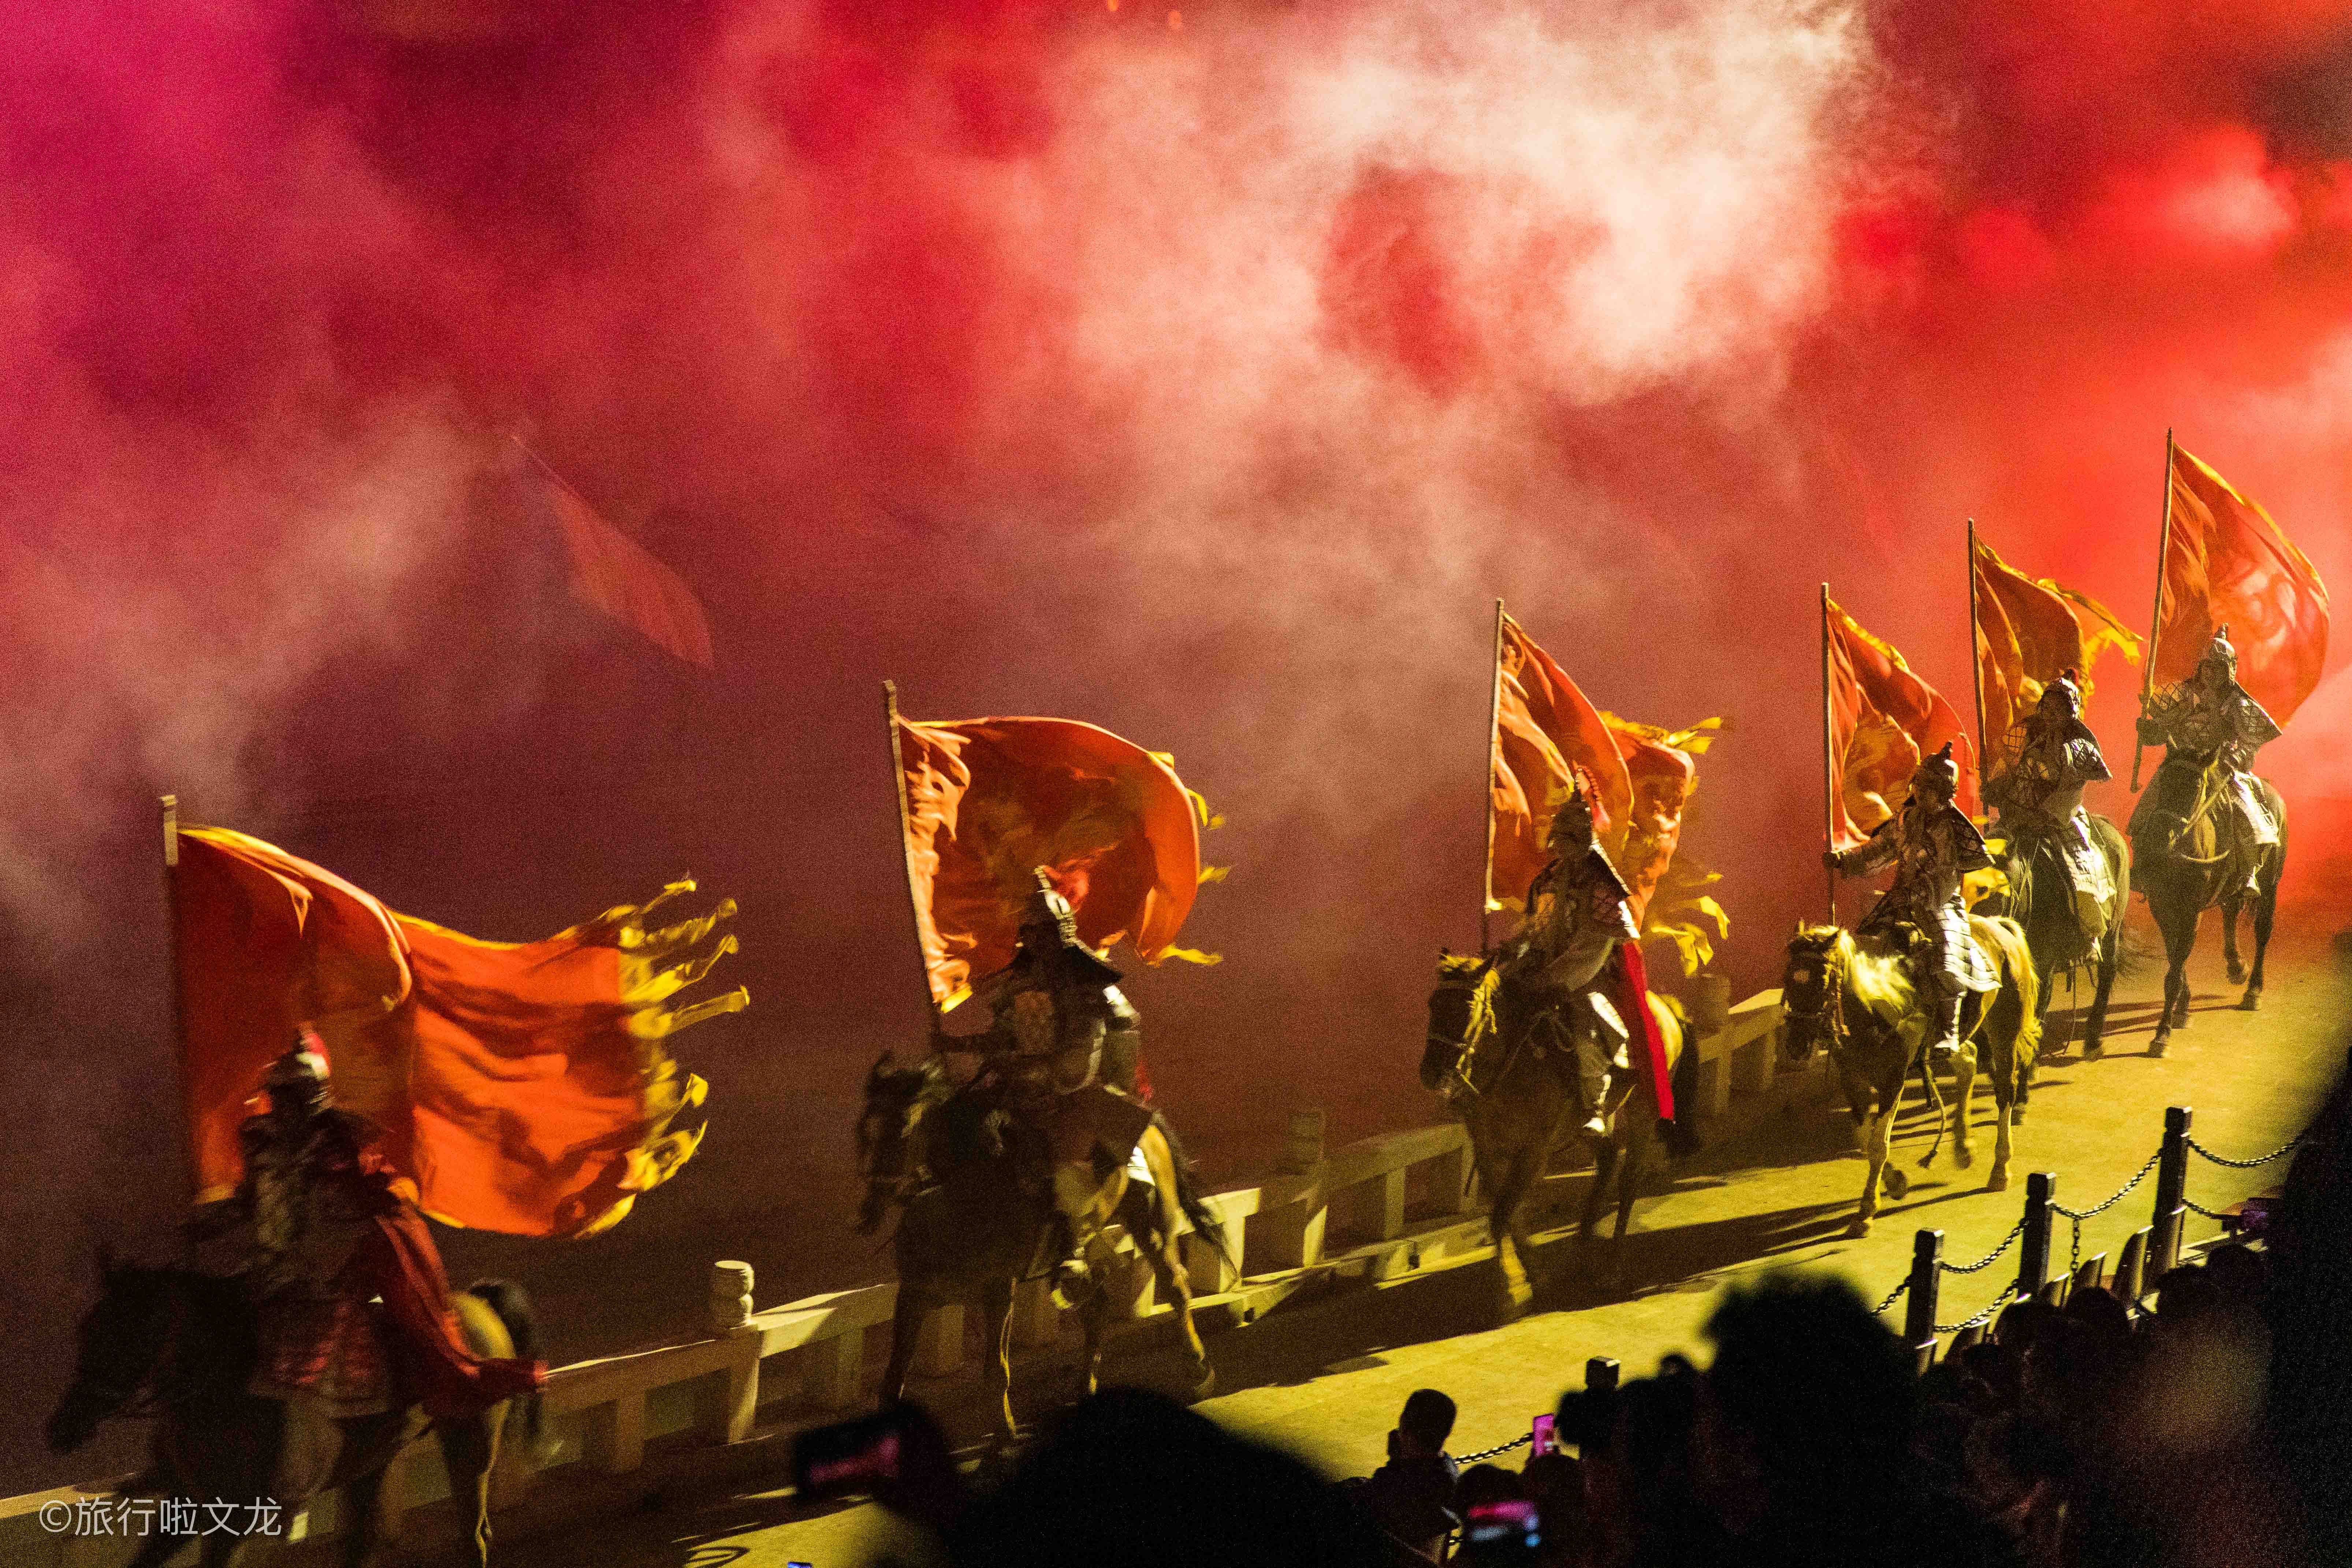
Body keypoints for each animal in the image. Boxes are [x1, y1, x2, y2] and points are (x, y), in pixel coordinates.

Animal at [44, 1249, 541, 1568]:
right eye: (88, 1329)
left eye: (128, 1335)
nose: (62, 1427)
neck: (223, 1386)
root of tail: (478, 1301)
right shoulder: (188, 1504)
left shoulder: (235, 1518)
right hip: (373, 1458)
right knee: (364, 1543)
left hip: (470, 1441)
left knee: (473, 1533)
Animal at [857, 1053, 1227, 1445]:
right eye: (864, 1131)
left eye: (902, 1125)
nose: (871, 1205)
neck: (960, 1203)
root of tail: (1148, 1120)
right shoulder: (913, 1293)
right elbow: (893, 1379)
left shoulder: (999, 1290)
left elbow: (996, 1370)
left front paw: (1007, 1433)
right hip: (1090, 1235)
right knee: (1097, 1307)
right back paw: (1086, 1390)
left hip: (1150, 1220)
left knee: (1175, 1287)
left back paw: (1201, 1372)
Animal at [1420, 953, 1691, 1318]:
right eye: (1433, 1003)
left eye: (1468, 1005)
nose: (1431, 1073)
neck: (1512, 1066)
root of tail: (1665, 1007)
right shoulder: (1488, 1147)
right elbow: (1507, 1213)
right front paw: (1533, 1275)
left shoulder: (1534, 1150)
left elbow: (1502, 1214)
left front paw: (1511, 1292)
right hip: (1590, 1118)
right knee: (1608, 1159)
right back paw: (1582, 1247)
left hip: (1643, 1109)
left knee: (1629, 1181)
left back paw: (1611, 1267)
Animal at [1779, 913, 2041, 1237]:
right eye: (1787, 979)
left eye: (1823, 982)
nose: (1796, 1044)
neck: (1874, 1004)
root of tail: (1999, 926)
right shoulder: (1852, 1078)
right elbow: (1864, 1138)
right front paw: (1896, 1183)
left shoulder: (1894, 1077)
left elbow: (1878, 1144)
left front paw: (1866, 1211)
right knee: (1968, 1060)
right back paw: (1963, 1147)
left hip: (2005, 1030)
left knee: (2005, 1089)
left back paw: (2000, 1169)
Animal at [2128, 752, 2287, 1055]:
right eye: (2163, 780)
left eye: (2196, 786)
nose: (2158, 839)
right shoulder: (2161, 907)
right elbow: (2174, 960)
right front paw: (2182, 1009)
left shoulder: (2191, 911)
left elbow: (2174, 972)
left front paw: (2161, 1035)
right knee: (2231, 911)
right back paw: (2236, 967)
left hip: (2271, 883)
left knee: (2263, 930)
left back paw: (2253, 991)